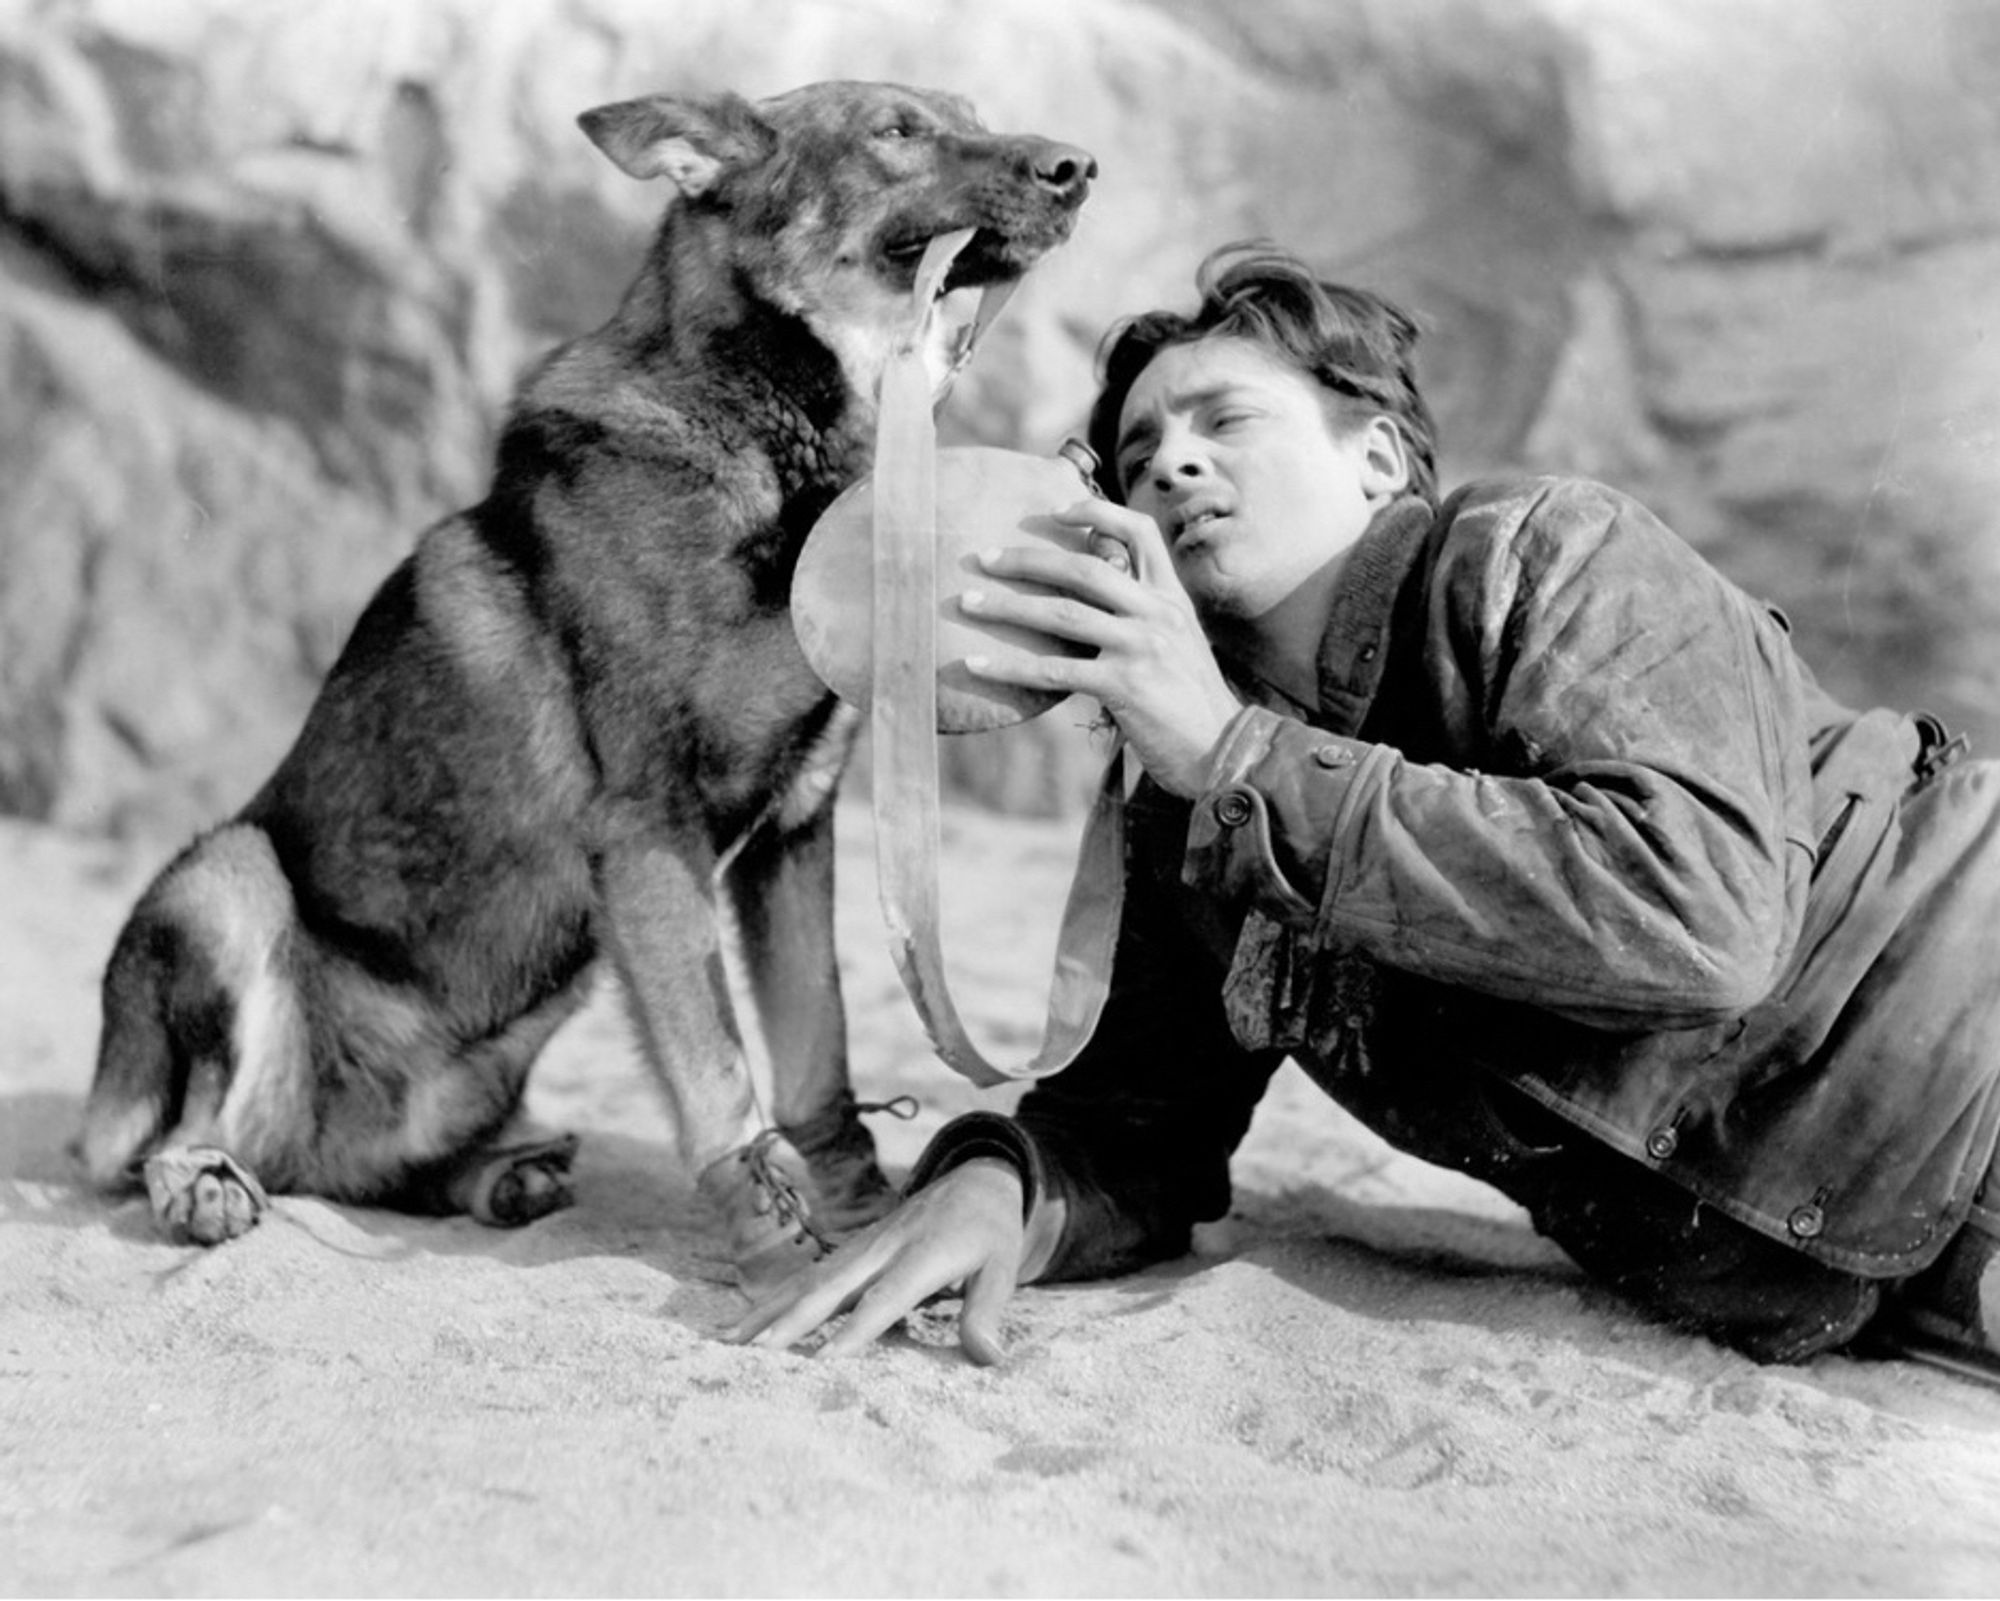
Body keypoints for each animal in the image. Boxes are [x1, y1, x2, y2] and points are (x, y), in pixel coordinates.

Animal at [74, 81, 1096, 1296]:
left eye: (970, 114)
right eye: (895, 131)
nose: (1078, 167)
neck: (775, 443)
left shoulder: (795, 832)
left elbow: (816, 1048)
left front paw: (858, 1212)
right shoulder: (652, 833)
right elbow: (717, 1068)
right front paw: (776, 1243)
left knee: (368, 1168)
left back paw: (495, 1172)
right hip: (226, 874)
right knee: (178, 1130)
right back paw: (202, 1179)